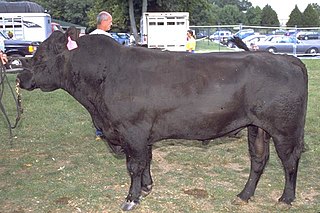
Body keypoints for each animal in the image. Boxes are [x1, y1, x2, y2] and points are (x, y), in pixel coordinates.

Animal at [16, 27, 308, 211]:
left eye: (41, 55)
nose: (20, 77)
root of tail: (287, 59)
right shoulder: (141, 134)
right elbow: (146, 161)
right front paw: (147, 187)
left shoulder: (132, 130)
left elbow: (134, 166)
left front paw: (132, 198)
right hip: (257, 128)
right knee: (258, 160)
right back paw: (244, 196)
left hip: (285, 129)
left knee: (290, 161)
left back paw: (286, 198)